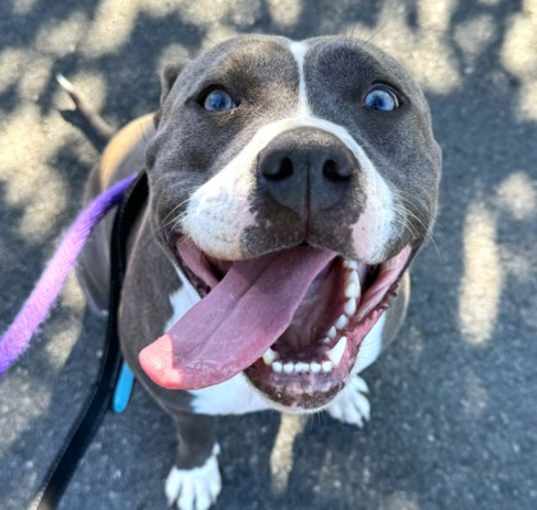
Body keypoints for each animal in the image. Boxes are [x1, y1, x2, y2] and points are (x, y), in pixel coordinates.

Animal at [69, 34, 442, 510]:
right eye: (216, 99)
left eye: (381, 99)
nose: (307, 159)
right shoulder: (174, 397)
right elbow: (193, 429)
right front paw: (195, 472)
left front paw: (345, 398)